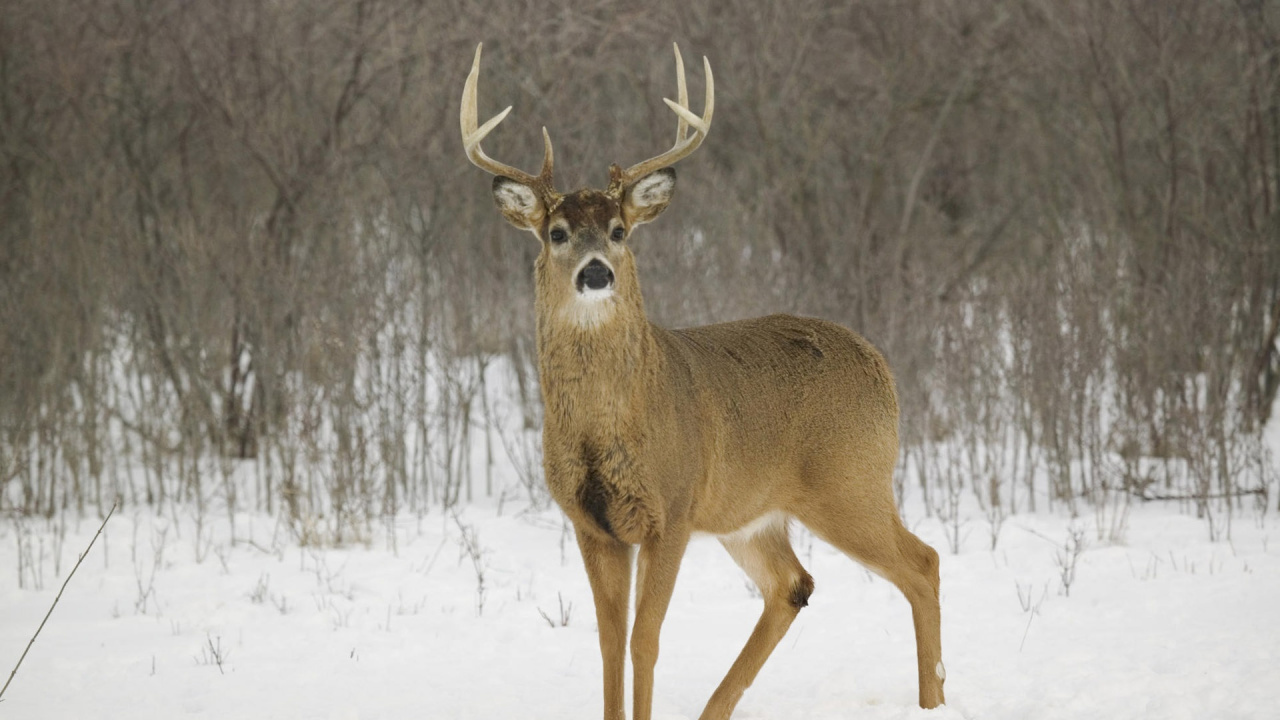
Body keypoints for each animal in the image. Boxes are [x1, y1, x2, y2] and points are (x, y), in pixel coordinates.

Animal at [460, 43, 946, 720]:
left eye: (619, 231)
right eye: (557, 233)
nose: (596, 272)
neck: (607, 427)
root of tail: (881, 366)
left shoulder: (673, 507)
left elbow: (644, 639)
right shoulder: (591, 523)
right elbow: (608, 643)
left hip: (850, 481)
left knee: (922, 563)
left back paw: (934, 703)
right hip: (753, 513)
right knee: (792, 584)